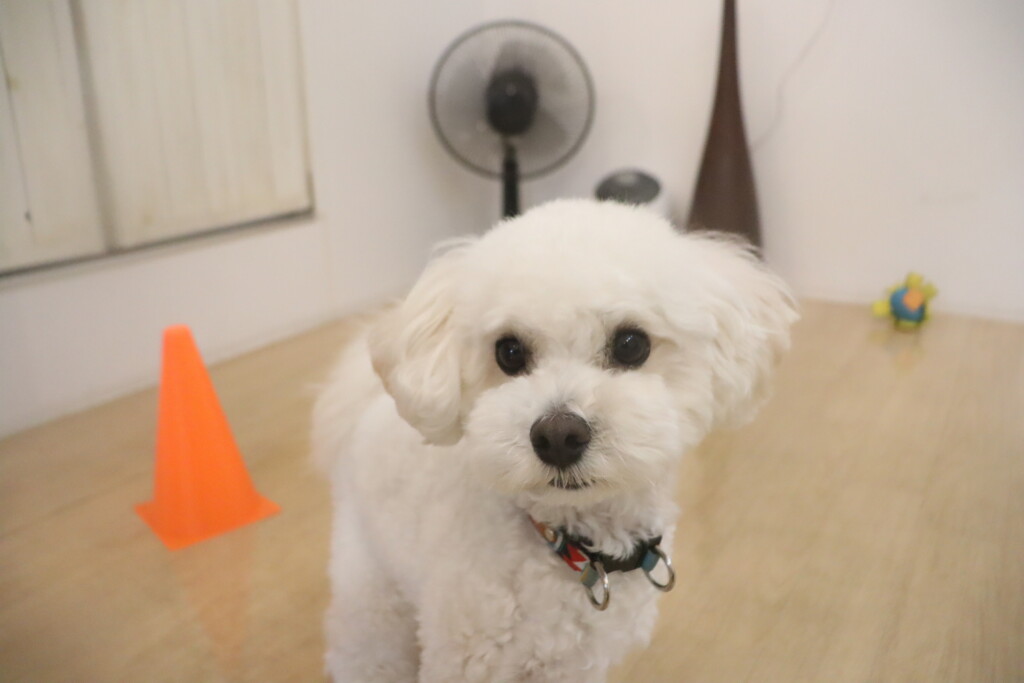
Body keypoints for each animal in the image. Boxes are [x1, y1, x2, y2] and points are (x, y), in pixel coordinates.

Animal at [313, 199, 797, 682]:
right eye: (508, 352)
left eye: (631, 343)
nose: (558, 435)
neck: (577, 550)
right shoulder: (466, 662)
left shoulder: (575, 668)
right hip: (369, 593)